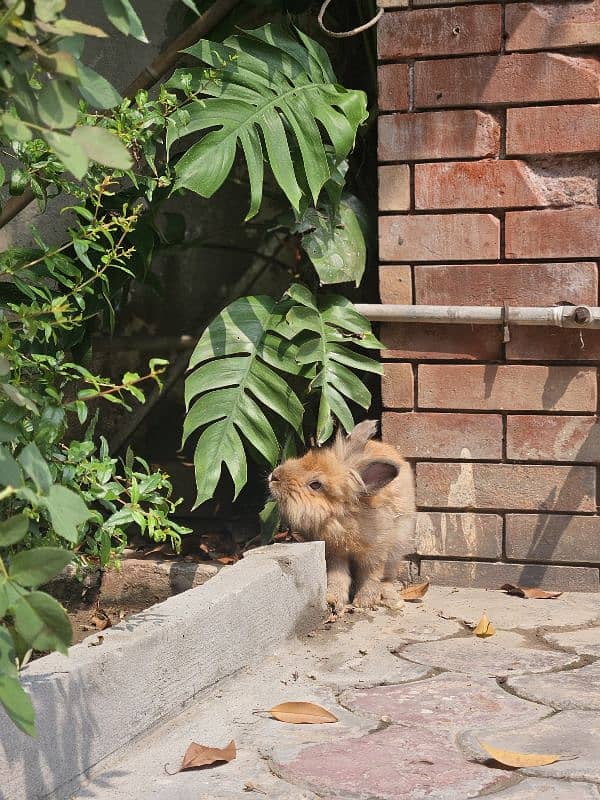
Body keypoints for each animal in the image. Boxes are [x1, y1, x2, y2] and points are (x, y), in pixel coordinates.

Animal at [270, 418, 414, 612]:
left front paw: (364, 602)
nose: (274, 476)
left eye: (315, 485)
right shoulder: (336, 554)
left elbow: (371, 575)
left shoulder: (375, 553)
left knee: (388, 577)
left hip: (396, 550)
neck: (345, 519)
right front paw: (333, 599)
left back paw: (391, 597)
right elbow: (337, 576)